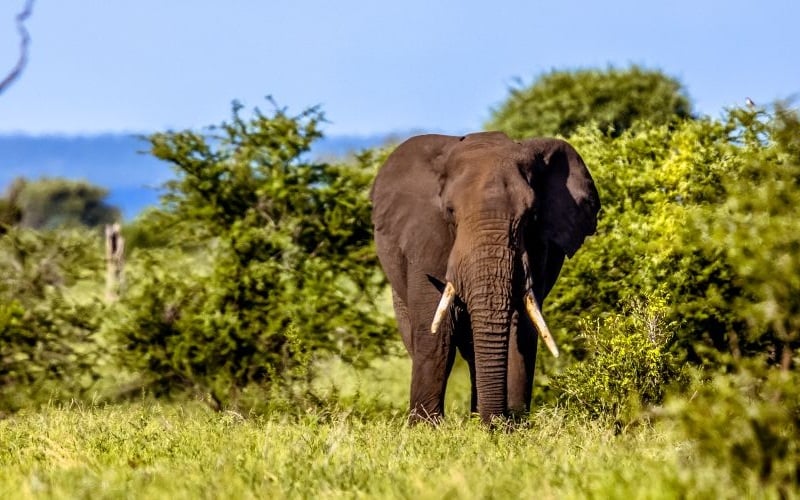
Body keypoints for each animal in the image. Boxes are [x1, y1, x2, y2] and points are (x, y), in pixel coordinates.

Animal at [370, 131, 600, 424]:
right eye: (449, 212)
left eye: (530, 215)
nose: (496, 422)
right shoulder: (423, 241)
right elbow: (436, 334)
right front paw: (426, 428)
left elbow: (519, 327)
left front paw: (510, 425)